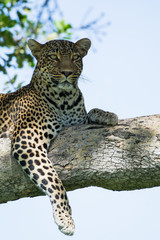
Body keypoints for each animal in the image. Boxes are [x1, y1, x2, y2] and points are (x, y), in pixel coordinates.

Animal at [0, 38, 117, 235]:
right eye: (53, 57)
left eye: (75, 57)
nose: (67, 72)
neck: (65, 99)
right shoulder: (27, 141)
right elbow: (53, 180)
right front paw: (64, 217)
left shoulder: (76, 121)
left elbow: (90, 112)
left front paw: (107, 115)